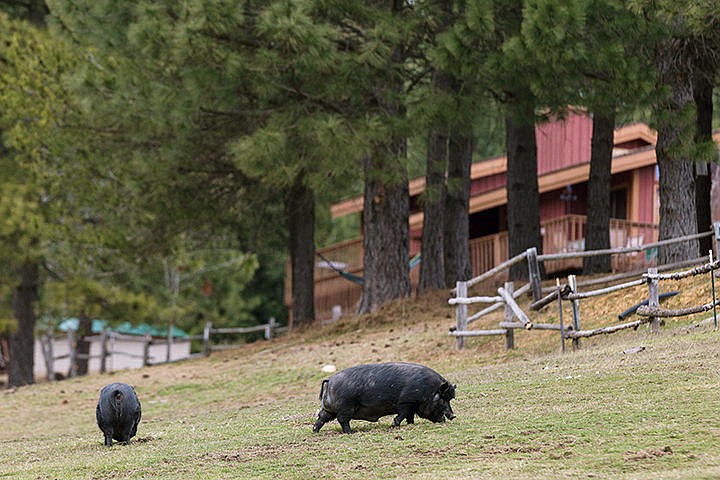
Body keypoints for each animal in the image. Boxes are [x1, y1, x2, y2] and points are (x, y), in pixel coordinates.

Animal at [310, 360, 456, 436]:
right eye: (442, 398)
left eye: (450, 399)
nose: (453, 416)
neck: (428, 390)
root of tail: (330, 380)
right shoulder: (406, 401)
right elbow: (402, 414)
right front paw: (396, 425)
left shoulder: (412, 405)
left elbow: (410, 417)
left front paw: (411, 425)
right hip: (346, 407)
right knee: (342, 420)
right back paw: (350, 432)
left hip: (329, 409)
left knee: (322, 417)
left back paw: (315, 431)